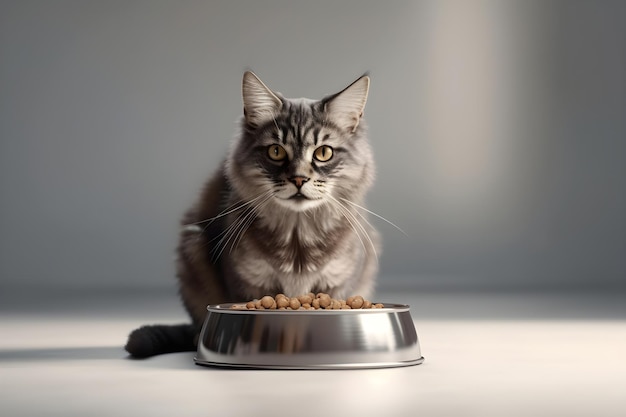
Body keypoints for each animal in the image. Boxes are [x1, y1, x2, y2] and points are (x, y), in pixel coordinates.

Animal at [122, 71, 376, 358]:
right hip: (192, 247)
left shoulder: (337, 284)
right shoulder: (247, 283)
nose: (299, 179)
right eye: (276, 151)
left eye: (323, 152)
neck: (297, 235)